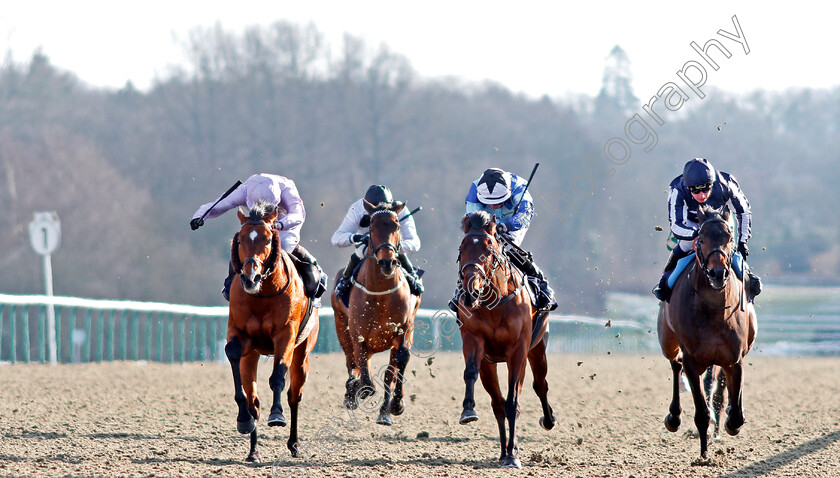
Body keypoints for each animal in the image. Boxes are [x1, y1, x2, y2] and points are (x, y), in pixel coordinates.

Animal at [223, 202, 318, 464]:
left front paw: (276, 415)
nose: (250, 277)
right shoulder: (241, 336)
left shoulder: (285, 335)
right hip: (252, 356)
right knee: (254, 400)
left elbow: (278, 376)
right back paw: (253, 450)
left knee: (294, 395)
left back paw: (294, 444)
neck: (262, 296)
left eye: (267, 239)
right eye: (241, 239)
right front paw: (243, 420)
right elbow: (232, 353)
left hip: (302, 352)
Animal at [330, 198, 418, 426]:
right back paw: (352, 391)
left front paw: (395, 405)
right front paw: (355, 390)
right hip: (341, 328)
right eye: (371, 226)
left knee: (387, 372)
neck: (381, 293)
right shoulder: (357, 334)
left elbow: (397, 365)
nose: (388, 262)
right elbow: (366, 380)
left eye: (397, 225)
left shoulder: (404, 329)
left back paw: (384, 412)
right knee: (352, 362)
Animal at [452, 211, 556, 468]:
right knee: (497, 403)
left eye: (489, 248)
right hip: (490, 364)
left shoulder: (517, 350)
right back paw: (504, 451)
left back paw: (545, 423)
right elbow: (470, 373)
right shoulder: (473, 341)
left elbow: (513, 401)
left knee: (539, 385)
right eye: (462, 248)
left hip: (537, 349)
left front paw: (513, 457)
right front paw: (468, 410)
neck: (494, 303)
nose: (471, 292)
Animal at [656, 206, 760, 460]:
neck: (714, 311)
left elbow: (735, 411)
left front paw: (731, 422)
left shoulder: (734, 359)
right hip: (667, 341)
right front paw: (703, 455)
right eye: (701, 239)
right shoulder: (693, 361)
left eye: (730, 238)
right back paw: (674, 417)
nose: (717, 273)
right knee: (676, 364)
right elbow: (701, 412)